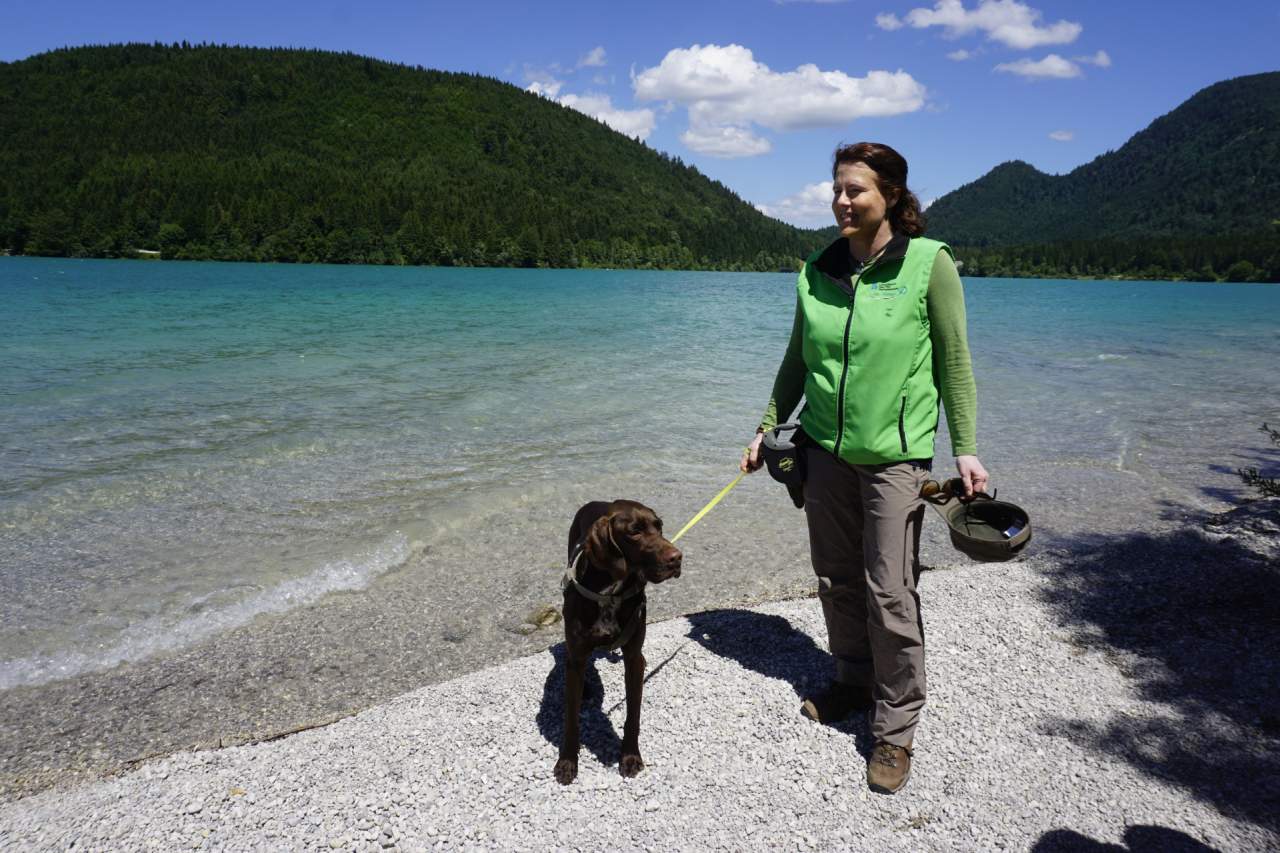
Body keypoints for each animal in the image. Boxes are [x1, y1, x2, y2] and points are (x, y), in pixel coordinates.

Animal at [555, 499, 686, 783]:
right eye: (634, 532)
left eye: (659, 526)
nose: (677, 558)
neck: (610, 593)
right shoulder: (577, 657)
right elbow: (571, 718)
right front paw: (567, 761)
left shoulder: (634, 658)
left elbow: (633, 715)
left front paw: (630, 756)